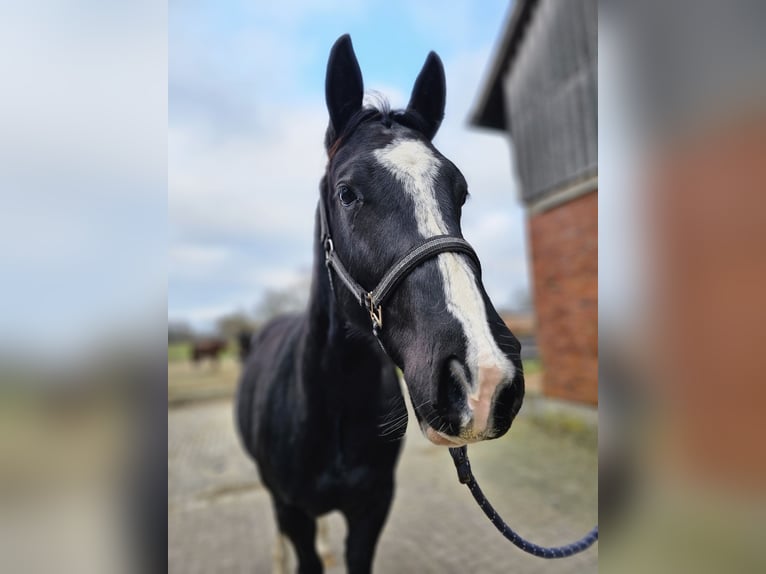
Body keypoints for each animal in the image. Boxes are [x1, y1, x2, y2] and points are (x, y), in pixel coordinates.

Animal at [236, 34, 525, 574]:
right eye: (347, 193)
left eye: (461, 191)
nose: (483, 379)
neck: (332, 401)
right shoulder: (292, 510)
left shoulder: (371, 512)